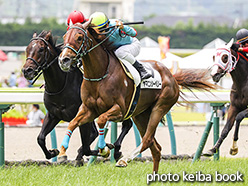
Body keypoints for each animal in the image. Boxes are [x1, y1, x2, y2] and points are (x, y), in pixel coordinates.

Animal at [57, 21, 216, 171]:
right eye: (64, 37)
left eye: (79, 37)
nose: (64, 60)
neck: (100, 75)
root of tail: (172, 76)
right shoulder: (88, 109)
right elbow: (73, 123)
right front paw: (62, 152)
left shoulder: (119, 110)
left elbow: (101, 120)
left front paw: (104, 149)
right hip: (140, 115)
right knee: (155, 148)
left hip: (160, 107)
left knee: (147, 140)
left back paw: (124, 160)